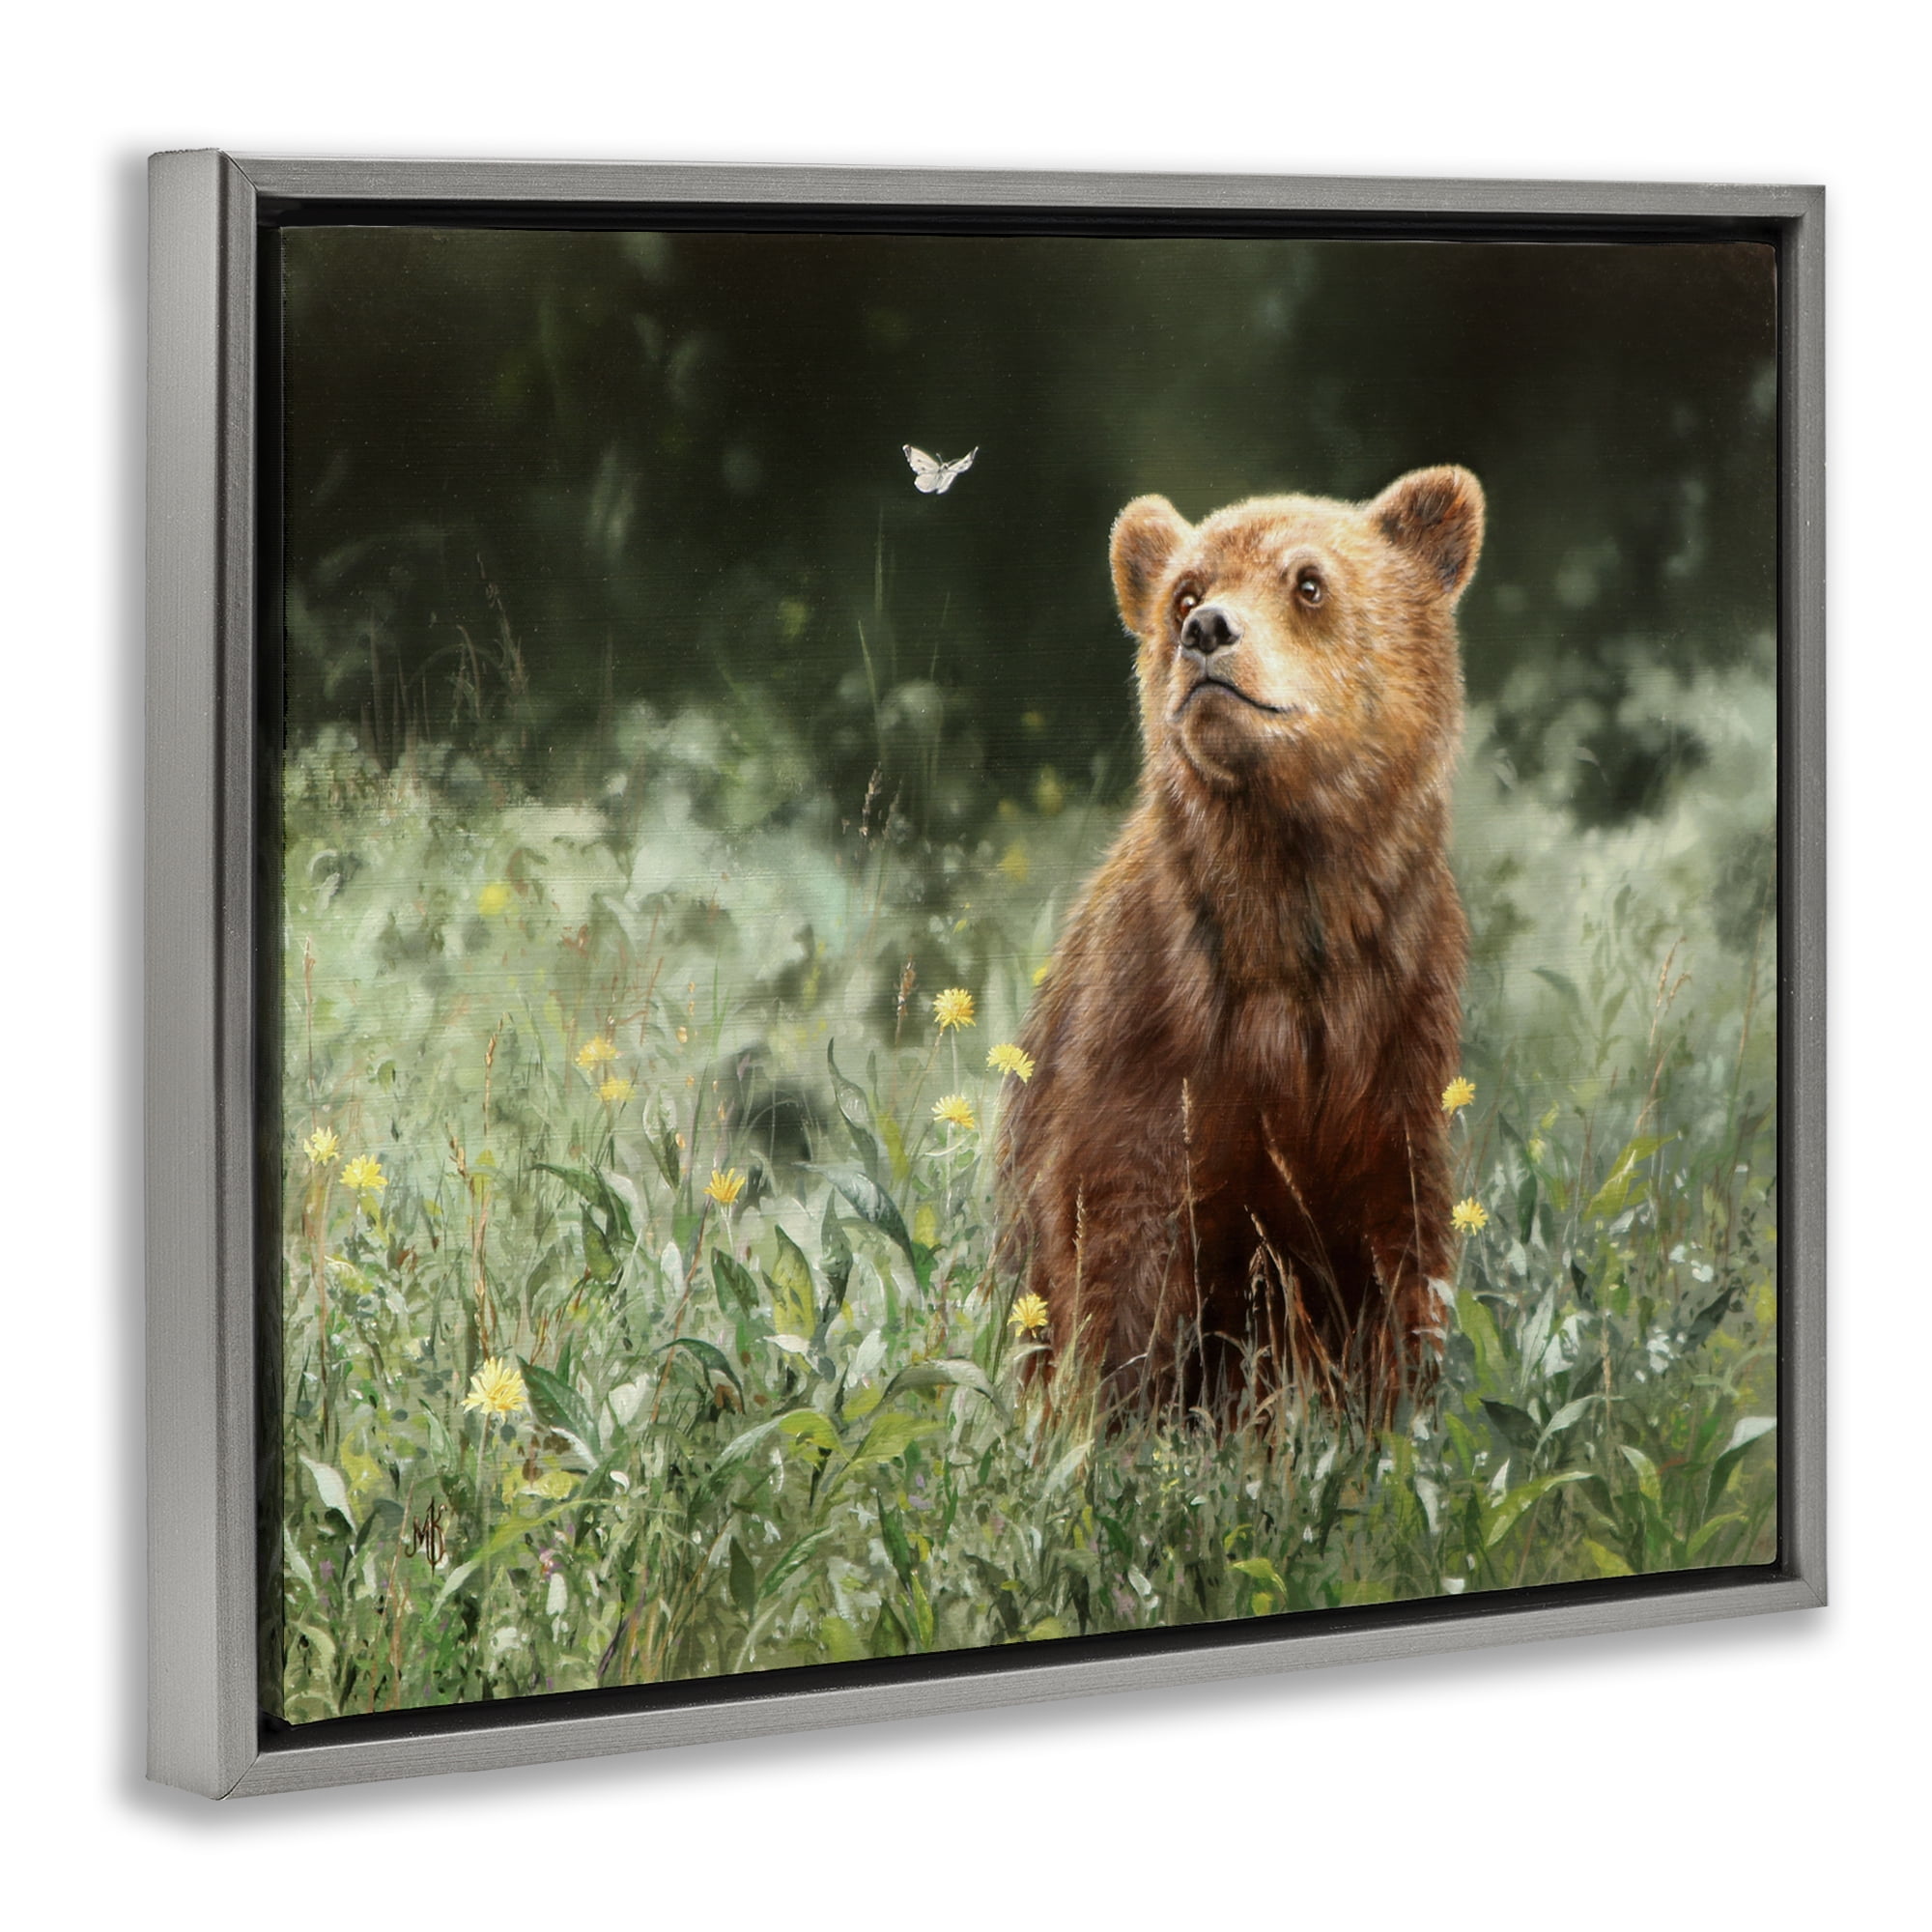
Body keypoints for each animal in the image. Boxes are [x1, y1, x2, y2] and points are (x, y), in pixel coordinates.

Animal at [997, 466, 1483, 1425]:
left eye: (1308, 581)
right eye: (1184, 589)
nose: (1206, 631)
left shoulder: (1394, 1036)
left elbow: (1395, 1254)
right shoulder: (1151, 1036)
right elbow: (1117, 1248)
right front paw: (1112, 1420)